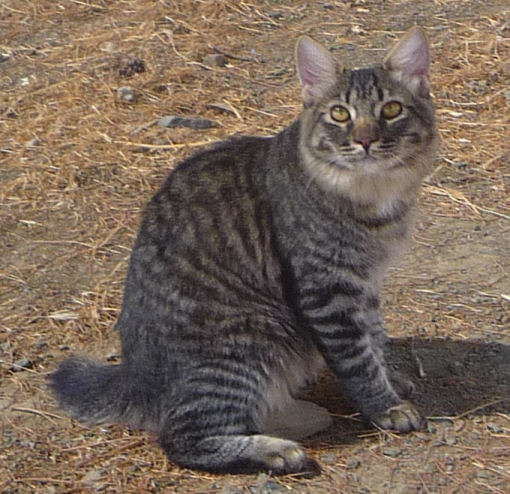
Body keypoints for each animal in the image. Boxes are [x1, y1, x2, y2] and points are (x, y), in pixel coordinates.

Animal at [51, 26, 438, 474]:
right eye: (340, 114)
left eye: (391, 109)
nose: (366, 140)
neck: (371, 197)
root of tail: (133, 374)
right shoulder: (327, 292)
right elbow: (358, 360)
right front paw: (386, 407)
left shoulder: (365, 285)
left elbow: (374, 338)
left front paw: (392, 378)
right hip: (248, 339)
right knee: (182, 438)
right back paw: (277, 450)